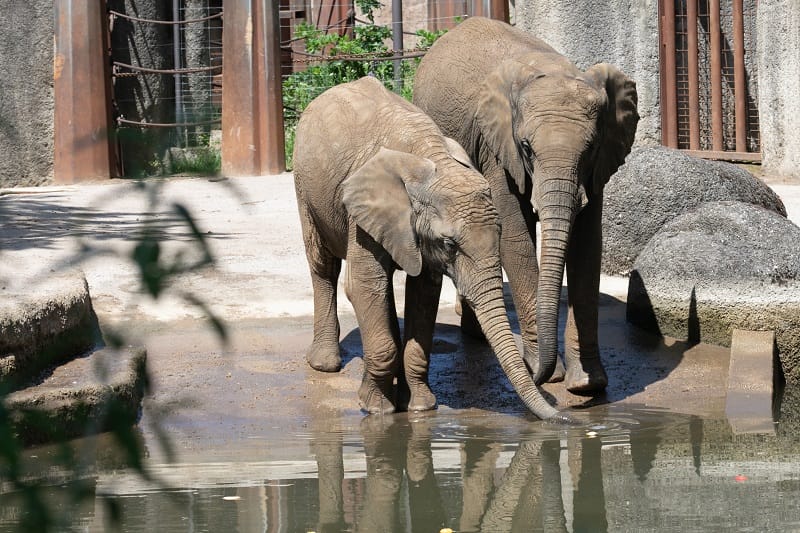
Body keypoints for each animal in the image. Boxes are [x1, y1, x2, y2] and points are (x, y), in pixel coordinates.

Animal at [293, 76, 569, 421]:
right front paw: (378, 410)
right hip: (305, 188)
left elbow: (424, 292)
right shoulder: (363, 213)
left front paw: (420, 408)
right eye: (449, 243)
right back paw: (325, 365)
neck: (429, 161)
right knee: (323, 265)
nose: (564, 417)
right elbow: (363, 286)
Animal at [413, 17, 639, 393]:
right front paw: (554, 375)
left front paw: (587, 384)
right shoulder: (496, 150)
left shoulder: (600, 164)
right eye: (527, 147)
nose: (535, 376)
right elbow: (514, 236)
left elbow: (588, 244)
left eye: (591, 147)